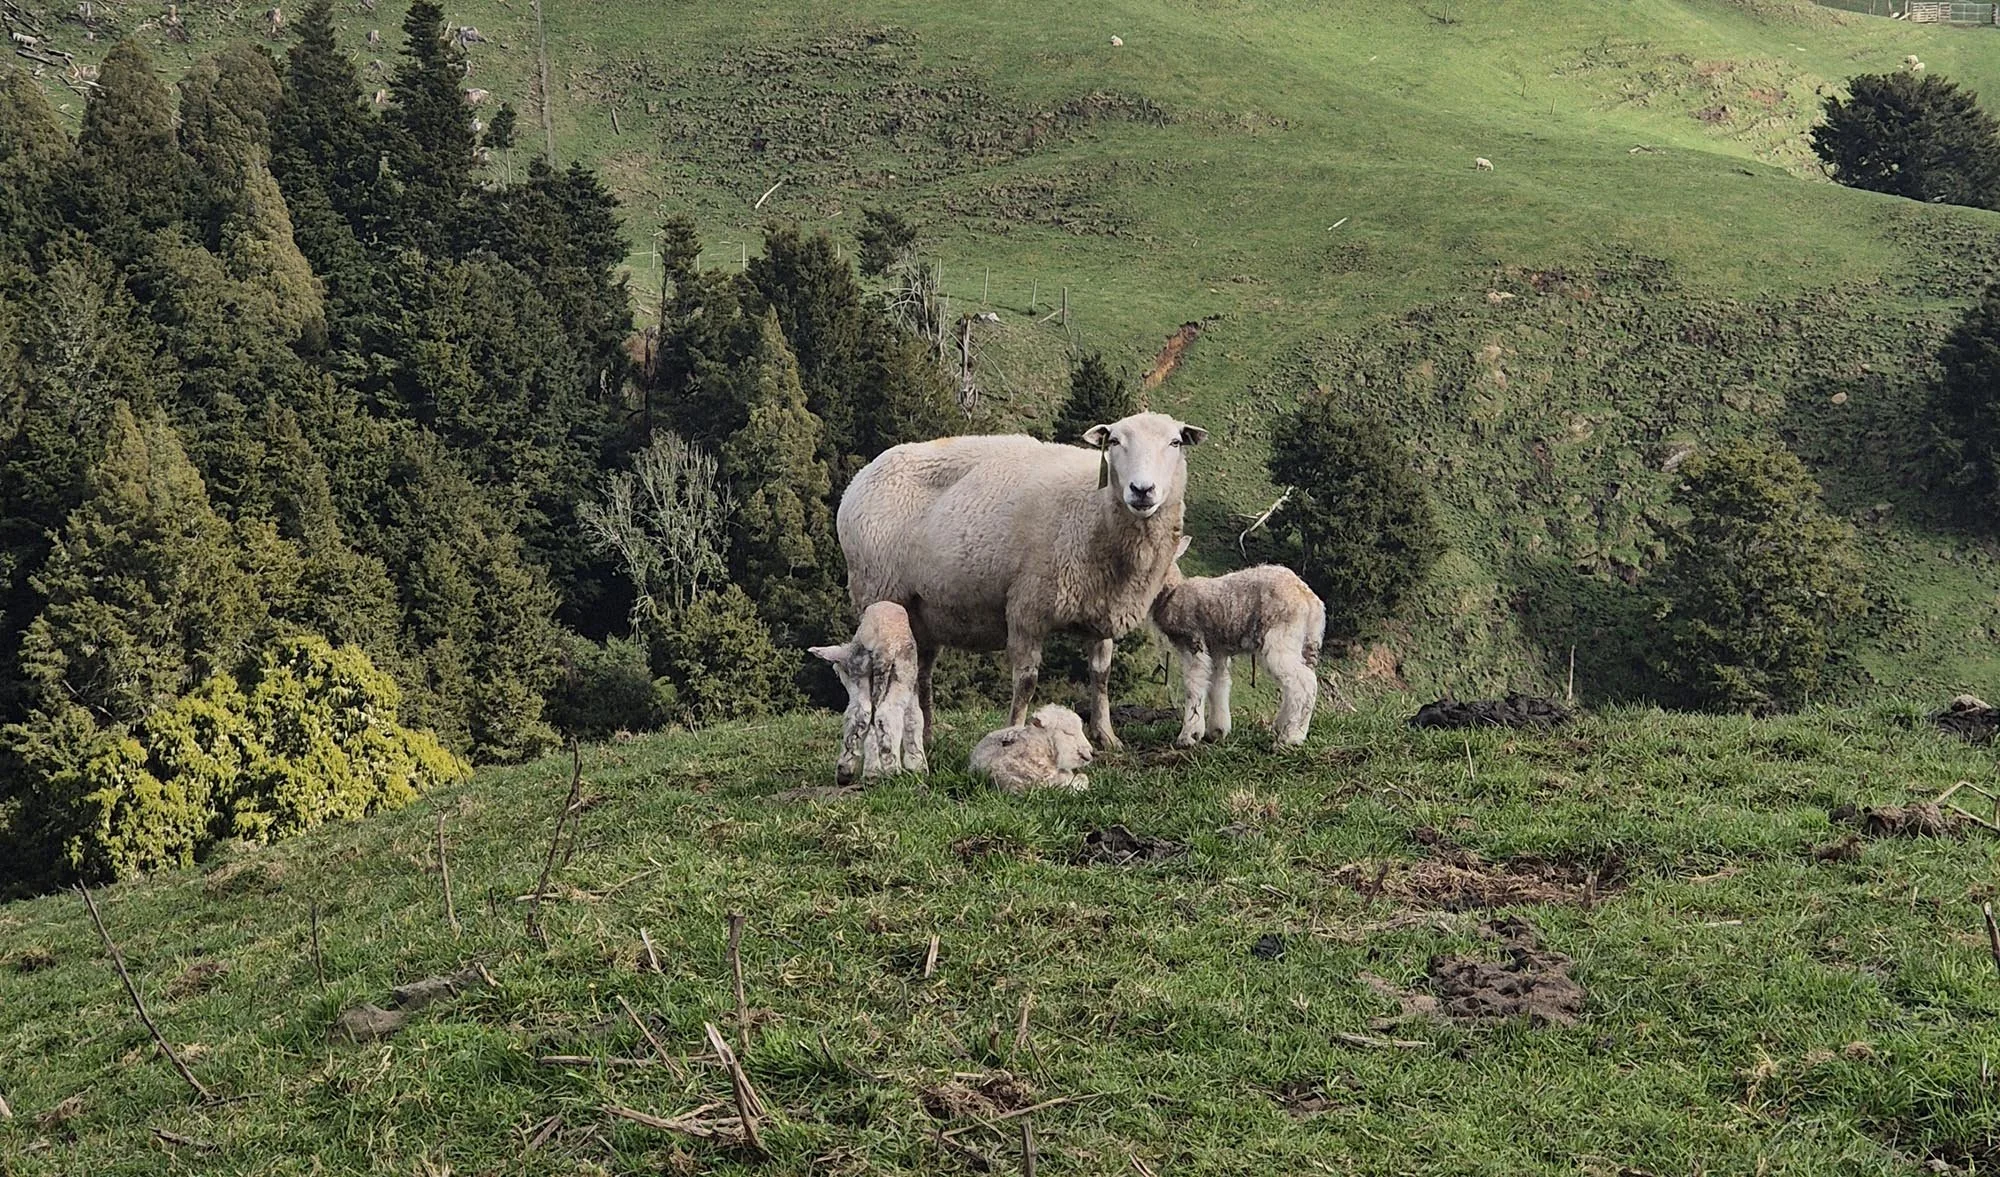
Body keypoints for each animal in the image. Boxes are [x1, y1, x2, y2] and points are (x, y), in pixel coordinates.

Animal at [809, 601, 927, 785]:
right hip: (901, 676)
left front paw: (872, 772)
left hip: (861, 669)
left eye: (843, 671)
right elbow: (914, 719)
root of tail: (881, 644)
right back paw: (893, 770)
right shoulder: (911, 688)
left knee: (860, 715)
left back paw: (845, 770)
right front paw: (918, 766)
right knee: (886, 716)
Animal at [838, 411, 1206, 751]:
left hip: (924, 611)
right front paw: (1012, 734)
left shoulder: (1101, 606)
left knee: (921, 673)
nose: (1142, 490)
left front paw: (1106, 736)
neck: (1093, 511)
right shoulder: (1026, 607)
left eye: (1175, 442)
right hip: (879, 590)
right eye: (1114, 441)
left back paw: (925, 736)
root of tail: (861, 477)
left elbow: (1100, 676)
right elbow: (1026, 682)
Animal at [1149, 536, 1326, 748]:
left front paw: (1188, 736)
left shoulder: (1193, 642)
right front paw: (1217, 731)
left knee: (1304, 683)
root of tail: (1309, 599)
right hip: (1307, 643)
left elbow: (1194, 685)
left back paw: (1291, 737)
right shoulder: (1216, 649)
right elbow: (1219, 685)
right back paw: (1285, 727)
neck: (1172, 593)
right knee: (1305, 679)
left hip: (1281, 637)